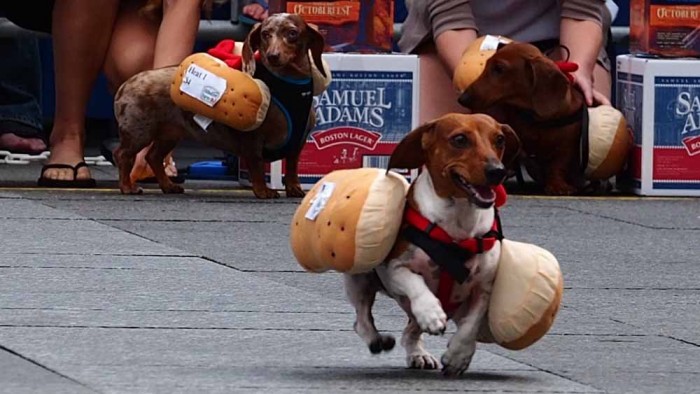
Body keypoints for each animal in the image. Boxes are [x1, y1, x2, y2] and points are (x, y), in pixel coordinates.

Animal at [112, 13, 326, 199]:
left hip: (170, 134)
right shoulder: (253, 140)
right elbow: (257, 166)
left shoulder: (297, 145)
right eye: (265, 34)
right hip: (139, 133)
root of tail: (125, 84)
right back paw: (127, 187)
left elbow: (291, 168)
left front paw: (294, 188)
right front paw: (263, 190)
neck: (290, 87)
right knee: (123, 155)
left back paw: (168, 186)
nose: (273, 55)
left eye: (292, 33)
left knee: (153, 157)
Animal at [344, 111, 520, 376]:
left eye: (499, 139)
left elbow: (471, 325)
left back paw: (419, 354)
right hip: (360, 278)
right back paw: (377, 339)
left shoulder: (484, 286)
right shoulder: (394, 268)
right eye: (460, 139)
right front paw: (431, 312)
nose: (497, 171)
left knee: (410, 332)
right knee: (362, 319)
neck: (458, 226)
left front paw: (458, 355)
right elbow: (416, 284)